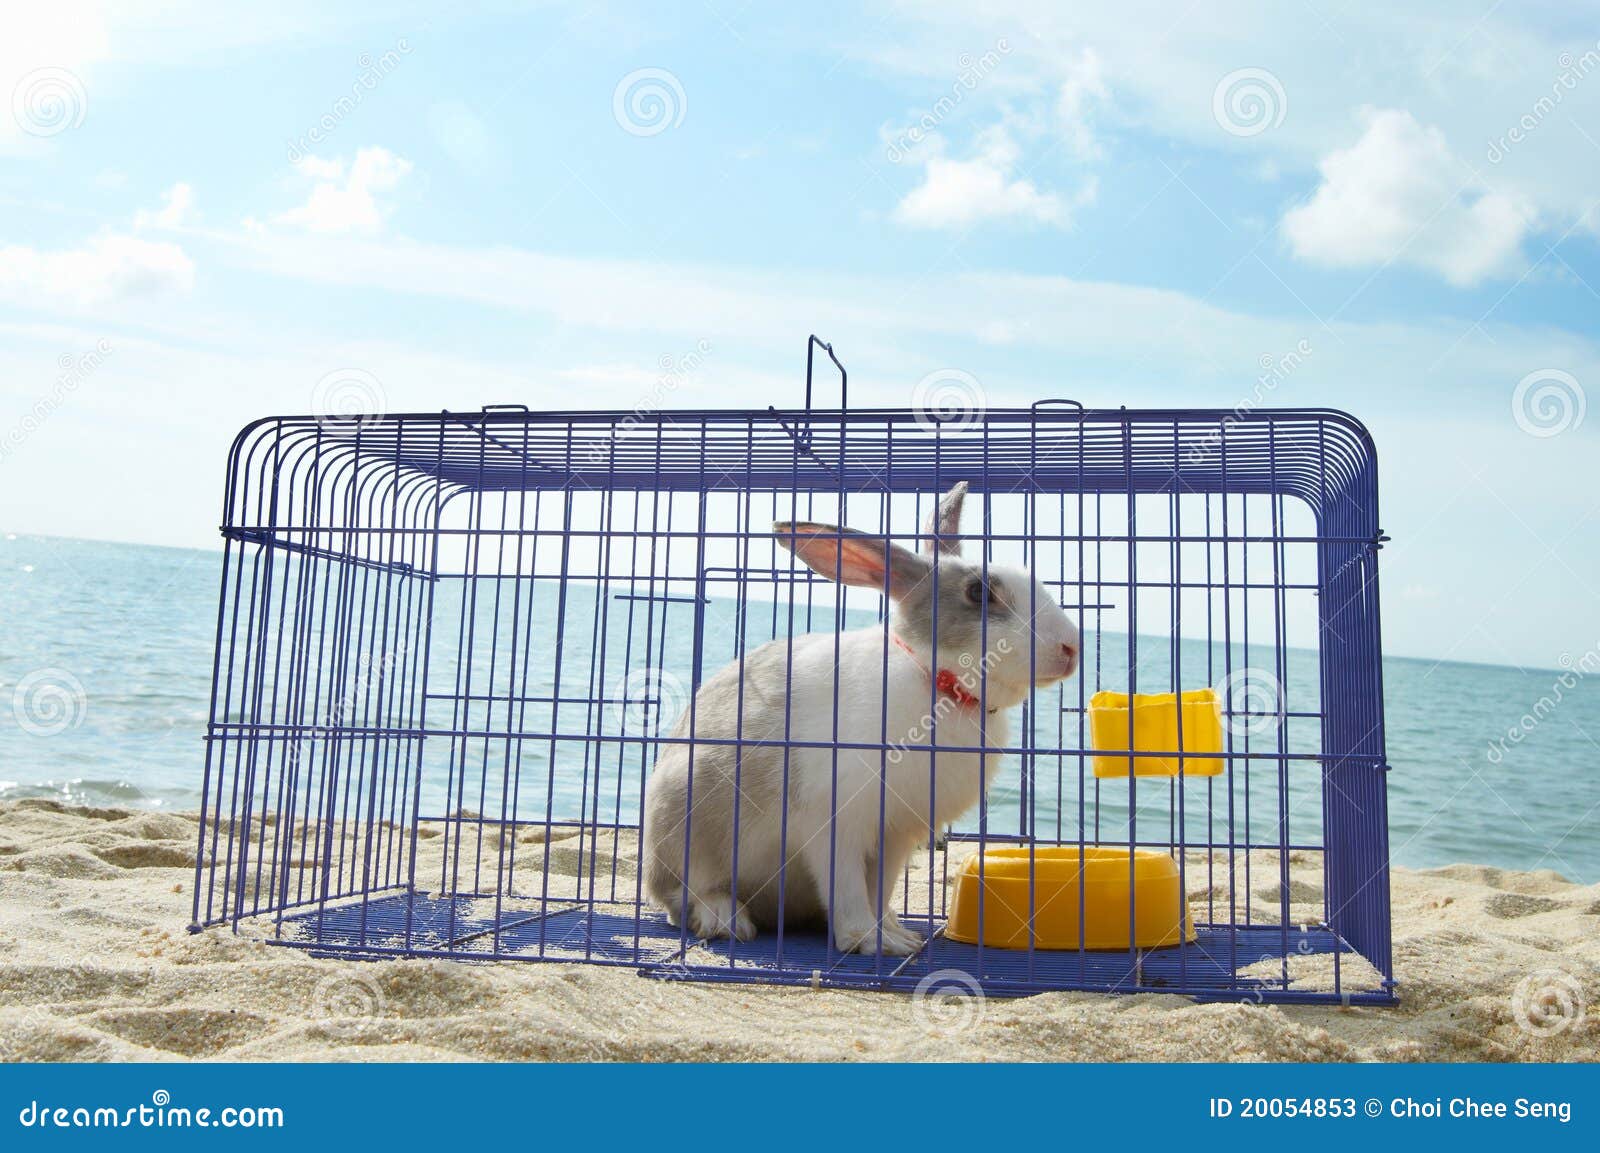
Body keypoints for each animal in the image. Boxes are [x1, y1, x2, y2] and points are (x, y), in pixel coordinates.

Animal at [641, 481, 1080, 954]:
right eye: (979, 592)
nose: (1071, 647)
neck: (938, 682)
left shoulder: (895, 836)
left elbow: (879, 889)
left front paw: (896, 935)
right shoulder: (836, 824)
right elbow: (848, 888)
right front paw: (869, 941)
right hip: (685, 830)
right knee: (683, 896)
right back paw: (726, 919)